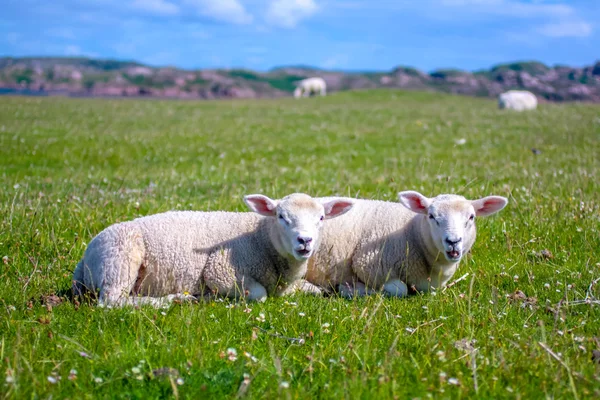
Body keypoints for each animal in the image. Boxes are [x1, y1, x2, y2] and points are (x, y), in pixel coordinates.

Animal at [72, 193, 354, 306]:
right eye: (281, 217)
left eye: (321, 218)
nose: (304, 241)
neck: (260, 237)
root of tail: (84, 258)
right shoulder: (221, 271)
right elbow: (260, 294)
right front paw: (212, 297)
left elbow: (315, 290)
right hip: (119, 263)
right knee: (113, 302)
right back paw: (174, 299)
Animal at [304, 191, 506, 296]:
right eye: (432, 216)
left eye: (471, 217)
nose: (453, 241)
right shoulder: (369, 264)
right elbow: (400, 289)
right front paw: (352, 289)